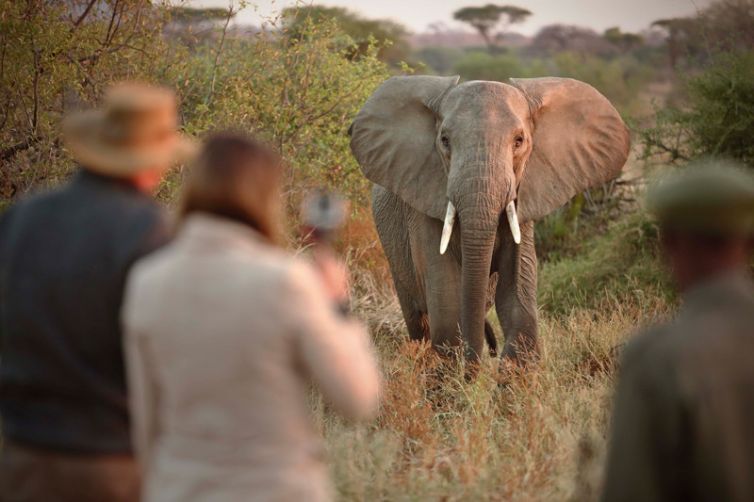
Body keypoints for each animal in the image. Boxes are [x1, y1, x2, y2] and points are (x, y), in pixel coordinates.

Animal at [349, 75, 630, 365]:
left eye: (519, 140)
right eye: (444, 140)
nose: (483, 358)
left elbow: (517, 295)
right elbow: (447, 304)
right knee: (419, 321)